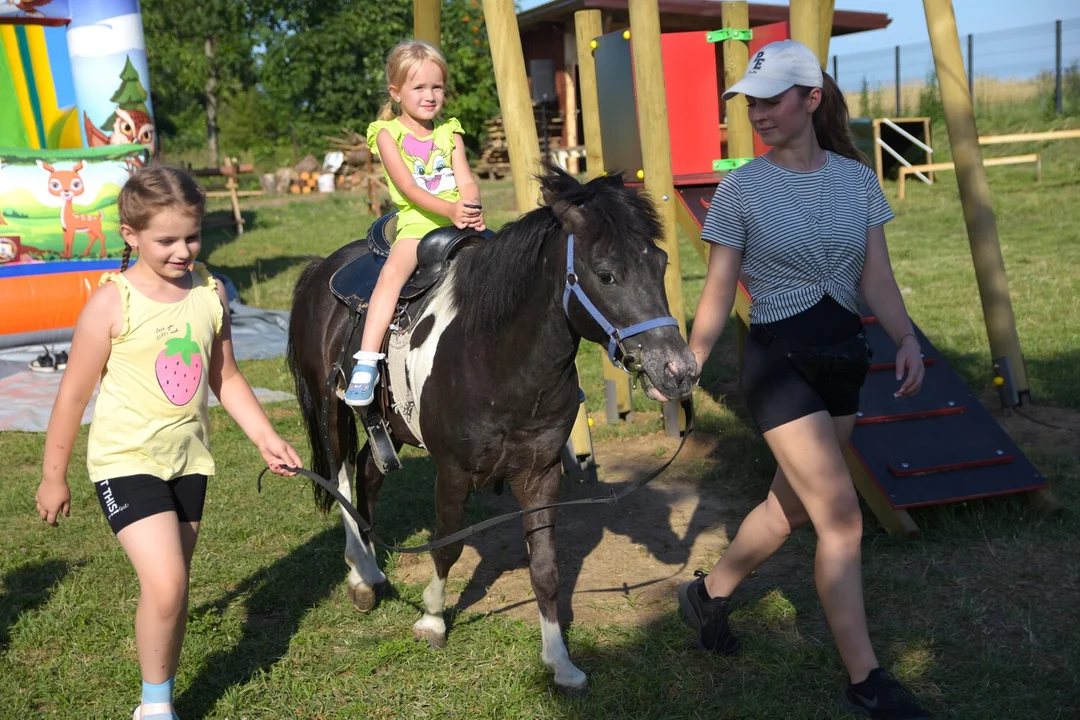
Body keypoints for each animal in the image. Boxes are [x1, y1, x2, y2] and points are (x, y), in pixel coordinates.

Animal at [287, 167, 691, 690]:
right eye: (606, 273)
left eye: (661, 262)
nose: (680, 370)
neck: (501, 358)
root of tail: (321, 268)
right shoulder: (453, 472)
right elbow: (447, 546)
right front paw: (432, 620)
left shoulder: (541, 473)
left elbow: (546, 569)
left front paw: (560, 661)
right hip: (328, 411)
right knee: (340, 478)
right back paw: (359, 577)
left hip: (389, 425)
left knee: (368, 473)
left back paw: (374, 572)